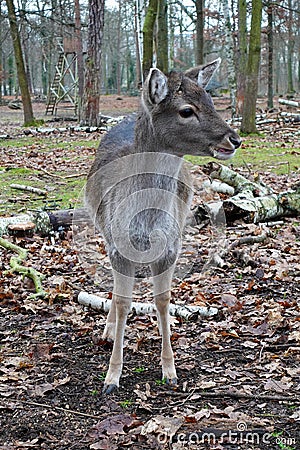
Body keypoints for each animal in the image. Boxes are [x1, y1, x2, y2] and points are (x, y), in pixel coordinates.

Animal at [85, 59, 241, 394]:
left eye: (211, 101)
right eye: (186, 110)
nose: (234, 139)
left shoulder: (172, 248)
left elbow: (163, 299)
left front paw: (170, 371)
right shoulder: (118, 247)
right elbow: (123, 302)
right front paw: (111, 378)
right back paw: (108, 331)